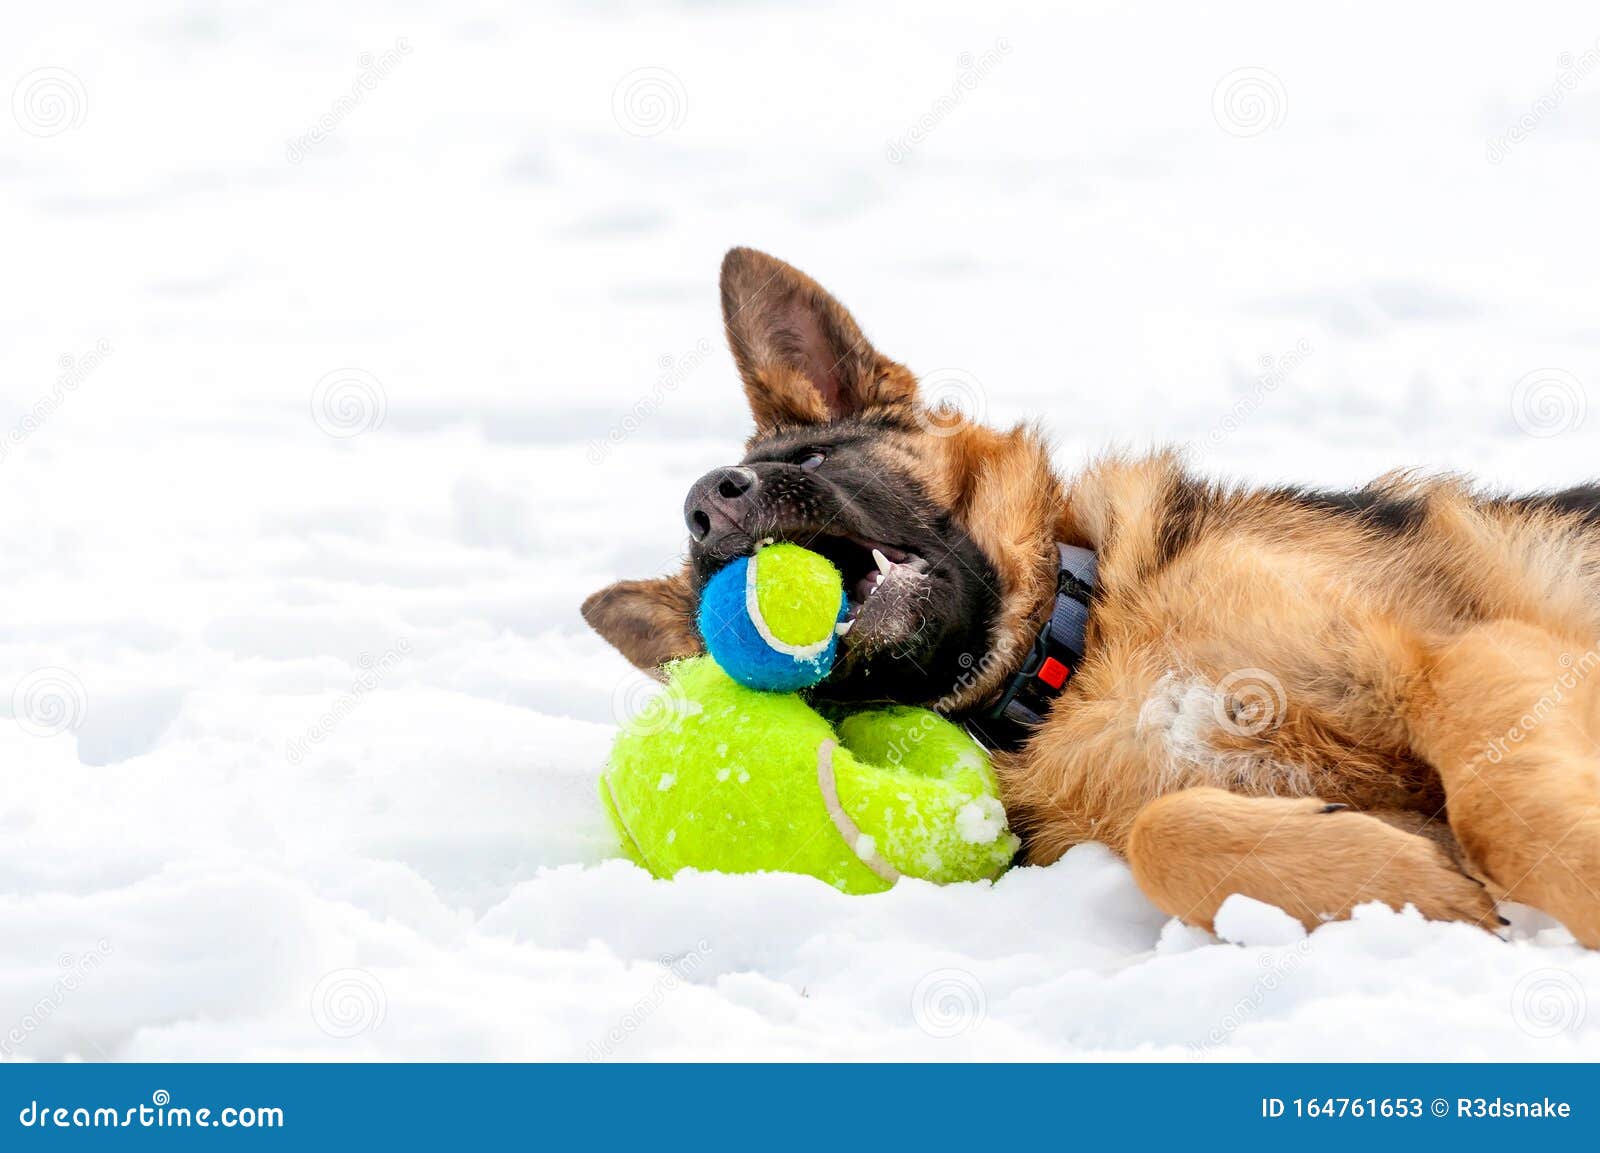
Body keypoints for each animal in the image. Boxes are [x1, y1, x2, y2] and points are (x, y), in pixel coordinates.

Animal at [585, 247, 1600, 940]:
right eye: (707, 581)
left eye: (819, 458)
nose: (706, 505)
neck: (1071, 656)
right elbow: (1164, 832)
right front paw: (1407, 886)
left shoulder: (1470, 654)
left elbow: (1504, 814)